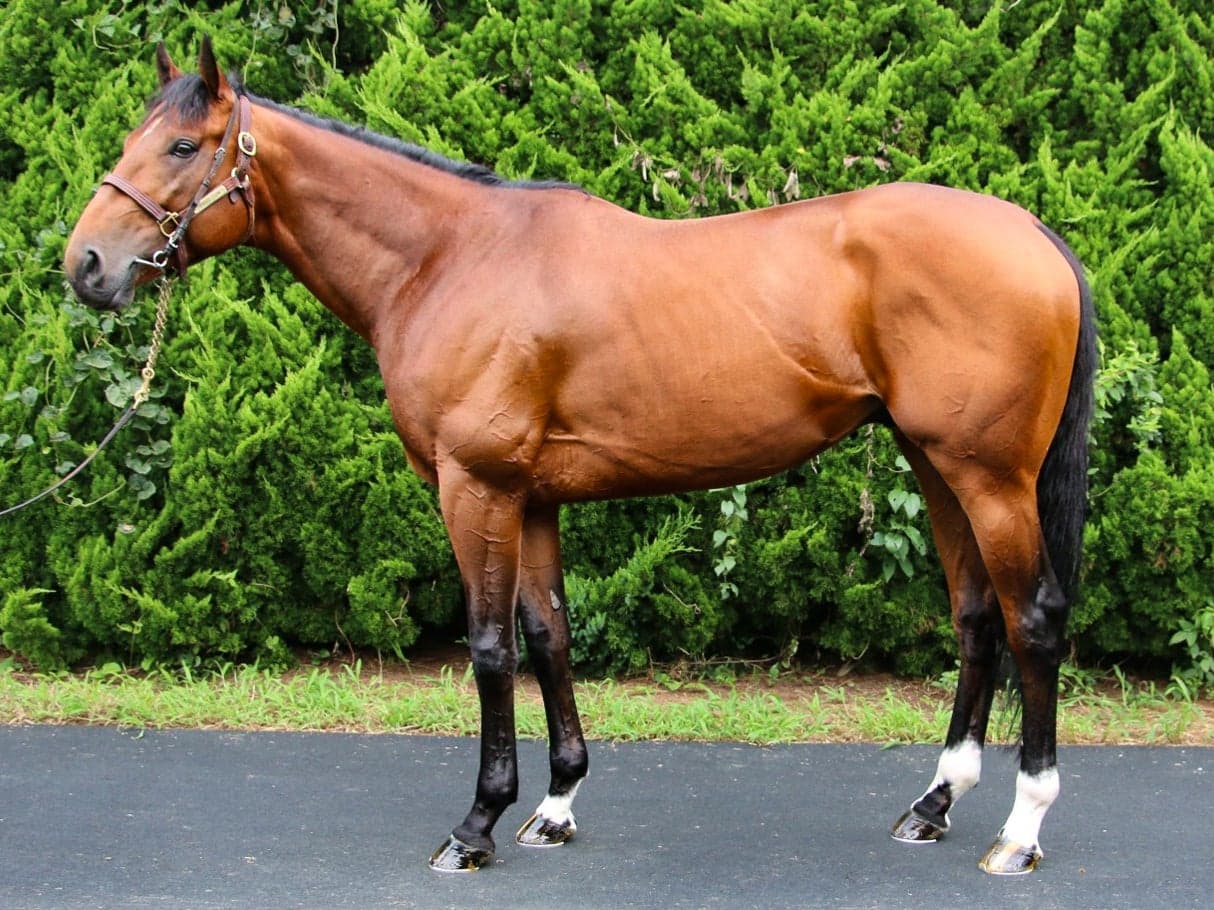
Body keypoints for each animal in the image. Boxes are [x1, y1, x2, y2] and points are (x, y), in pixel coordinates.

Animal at [64, 39, 1096, 876]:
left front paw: (477, 826)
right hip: (935, 465)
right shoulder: (531, 499)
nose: (86, 266)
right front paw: (554, 806)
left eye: (183, 148)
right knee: (975, 619)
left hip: (990, 478)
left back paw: (1022, 831)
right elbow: (548, 634)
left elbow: (488, 647)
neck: (448, 258)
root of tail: (1031, 232)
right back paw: (934, 804)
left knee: (1032, 619)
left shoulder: (474, 488)